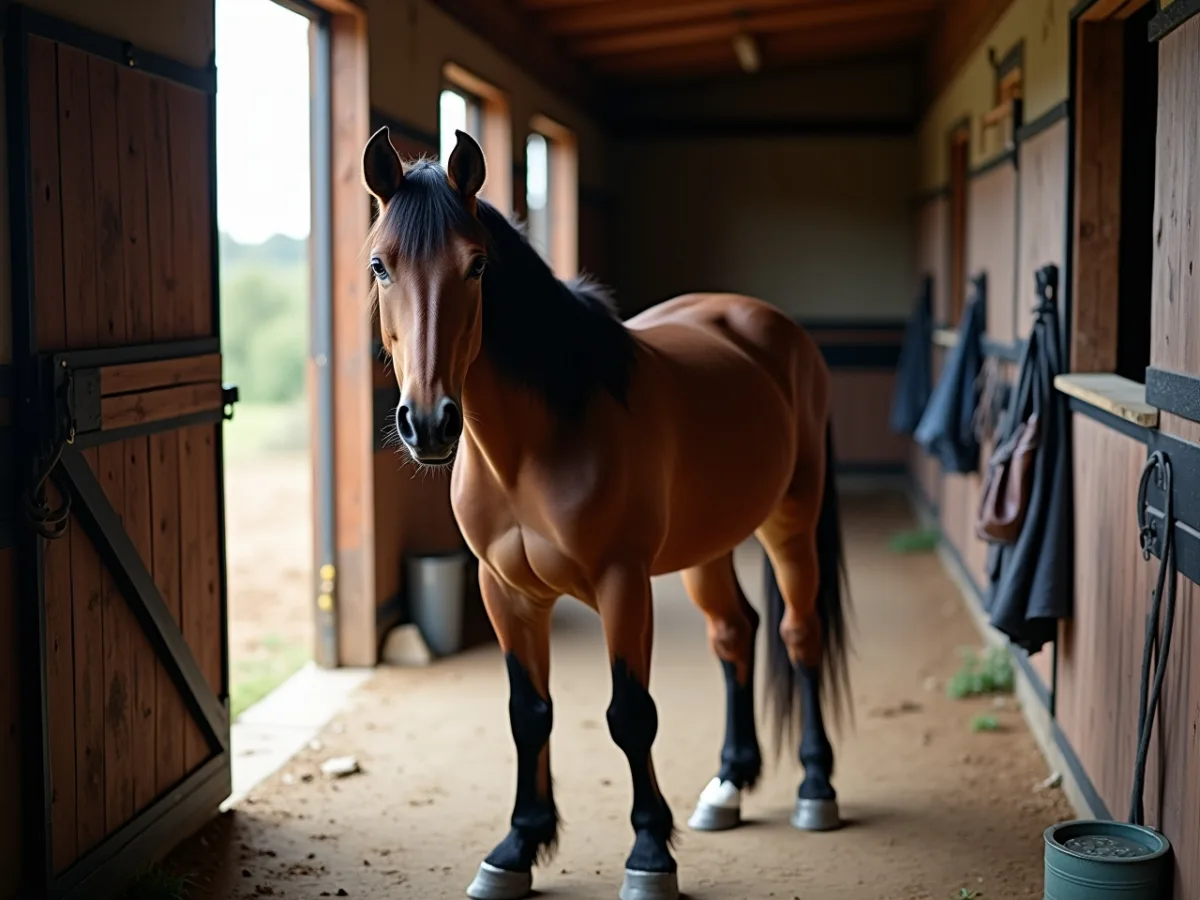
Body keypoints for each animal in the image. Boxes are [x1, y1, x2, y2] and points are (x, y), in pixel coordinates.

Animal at [361, 127, 852, 900]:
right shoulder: (505, 593)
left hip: (789, 524)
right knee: (734, 633)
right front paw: (517, 847)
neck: (534, 444)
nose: (430, 423)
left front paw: (650, 853)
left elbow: (631, 715)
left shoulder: (623, 584)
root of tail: (770, 327)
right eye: (381, 265)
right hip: (709, 544)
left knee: (798, 635)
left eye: (476, 266)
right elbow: (528, 714)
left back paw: (814, 788)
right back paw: (728, 786)